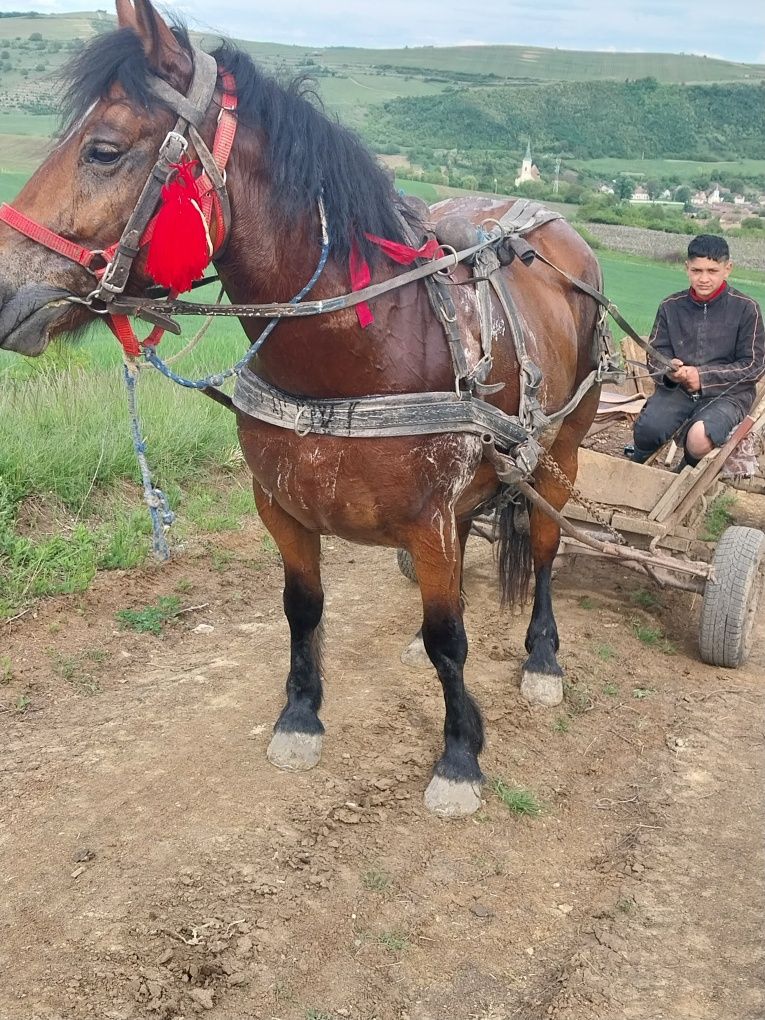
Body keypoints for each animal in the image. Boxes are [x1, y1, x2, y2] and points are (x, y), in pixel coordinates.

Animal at [0, 0, 607, 811]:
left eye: (103, 150)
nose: (6, 293)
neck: (358, 347)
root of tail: (556, 227)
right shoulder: (282, 507)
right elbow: (305, 611)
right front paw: (300, 715)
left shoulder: (430, 518)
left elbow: (450, 638)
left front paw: (458, 755)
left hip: (560, 452)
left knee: (542, 548)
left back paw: (542, 658)